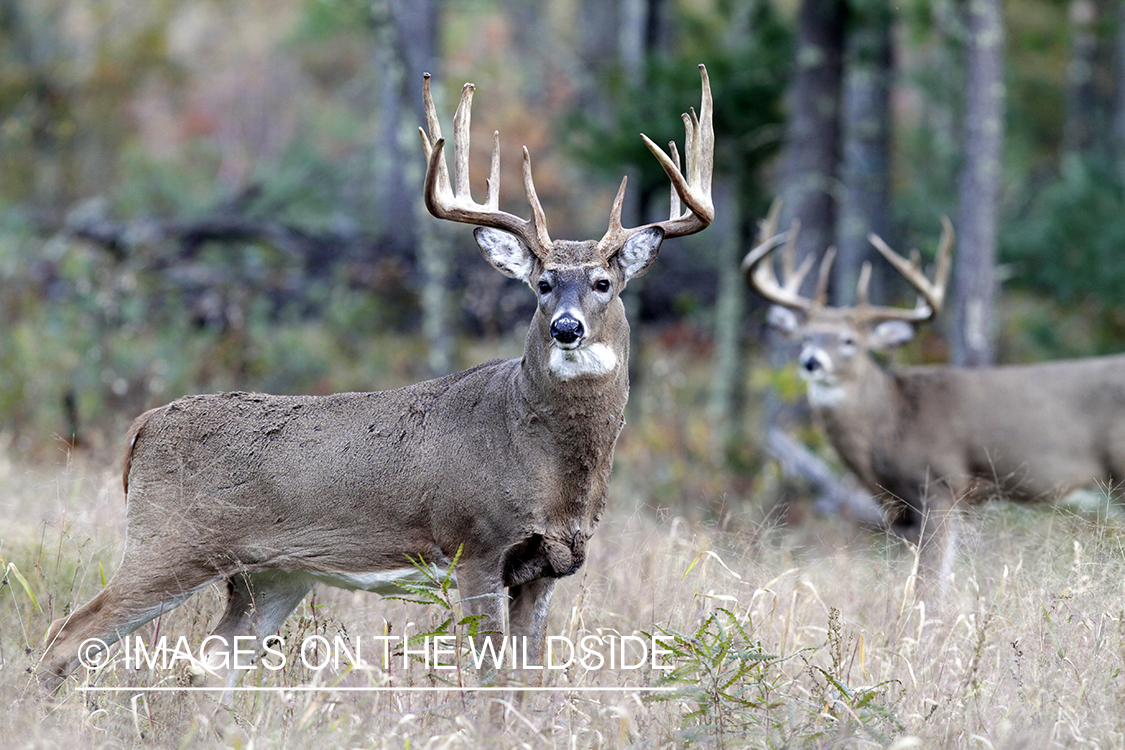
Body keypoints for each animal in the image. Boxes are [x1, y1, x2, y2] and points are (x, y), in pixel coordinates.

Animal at [43, 66, 715, 692]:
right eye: (543, 283)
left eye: (603, 283)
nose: (567, 328)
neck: (546, 463)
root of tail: (143, 426)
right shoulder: (476, 544)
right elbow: (490, 679)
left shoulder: (548, 566)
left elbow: (526, 680)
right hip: (170, 541)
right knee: (69, 633)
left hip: (268, 574)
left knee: (212, 662)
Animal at [747, 205, 1125, 593]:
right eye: (806, 337)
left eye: (849, 340)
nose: (811, 362)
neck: (891, 422)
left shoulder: (940, 483)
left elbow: (928, 584)